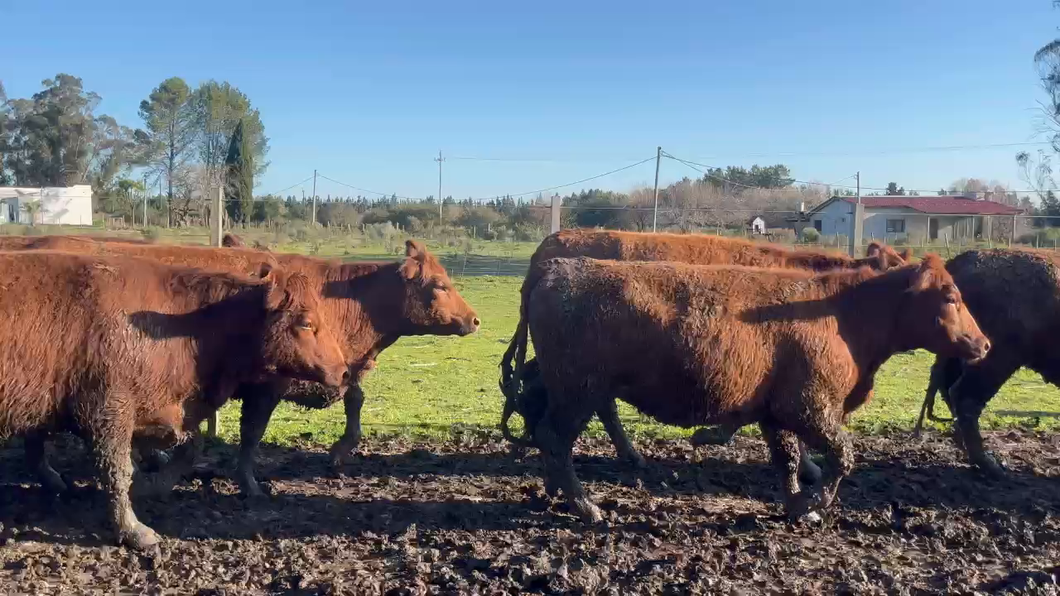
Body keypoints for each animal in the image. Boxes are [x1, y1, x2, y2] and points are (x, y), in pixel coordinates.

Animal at [0, 248, 345, 551]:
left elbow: (189, 447)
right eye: (306, 322)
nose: (342, 371)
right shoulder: (108, 414)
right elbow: (117, 472)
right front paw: (134, 531)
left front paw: (152, 486)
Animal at [22, 235, 479, 492]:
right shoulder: (267, 386)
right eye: (441, 285)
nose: (475, 320)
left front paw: (340, 451)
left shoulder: (337, 370)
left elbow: (355, 398)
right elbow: (252, 434)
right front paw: (250, 483)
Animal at [504, 255, 983, 519]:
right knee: (554, 438)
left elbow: (788, 461)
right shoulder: (809, 408)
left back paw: (558, 494)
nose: (983, 343)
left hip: (573, 392)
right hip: (578, 393)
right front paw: (815, 505)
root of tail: (557, 268)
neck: (842, 313)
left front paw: (797, 506)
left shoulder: (777, 414)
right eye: (950, 297)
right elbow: (843, 456)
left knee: (547, 435)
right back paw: (586, 507)